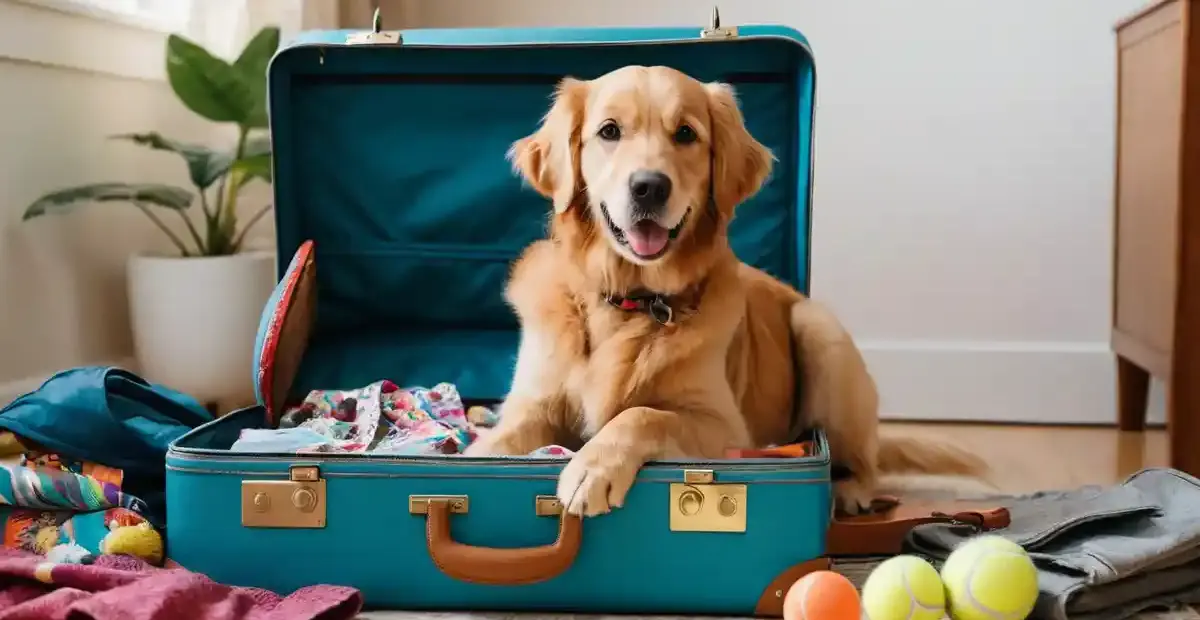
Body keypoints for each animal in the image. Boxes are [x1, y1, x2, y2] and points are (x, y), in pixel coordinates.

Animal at [463, 65, 988, 515]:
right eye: (609, 131)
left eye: (686, 134)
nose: (649, 187)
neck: (630, 301)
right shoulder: (531, 404)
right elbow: (501, 439)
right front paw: (475, 455)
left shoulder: (723, 425)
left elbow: (642, 415)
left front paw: (592, 468)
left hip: (820, 333)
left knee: (865, 461)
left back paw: (849, 491)